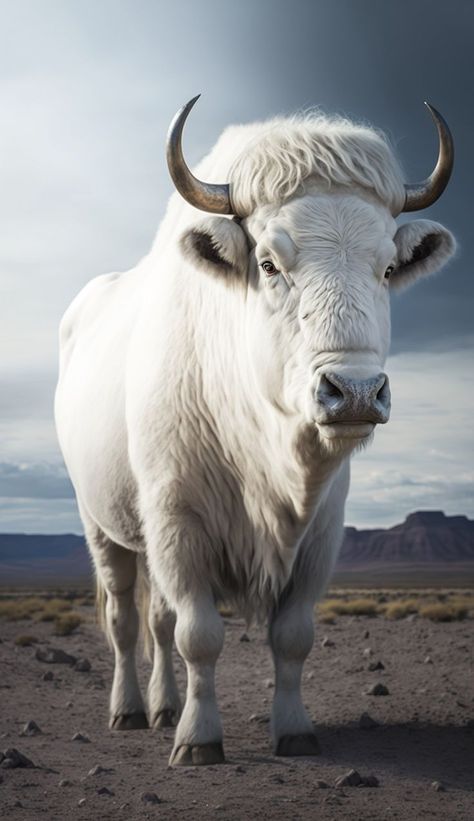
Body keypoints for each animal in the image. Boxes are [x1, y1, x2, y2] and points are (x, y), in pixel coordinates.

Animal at [54, 99, 456, 764]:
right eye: (269, 264)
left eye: (387, 267)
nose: (354, 392)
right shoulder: (177, 522)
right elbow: (199, 635)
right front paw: (199, 739)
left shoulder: (321, 534)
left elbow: (292, 636)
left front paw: (293, 729)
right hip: (102, 526)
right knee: (126, 621)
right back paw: (131, 710)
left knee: (157, 622)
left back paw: (163, 706)